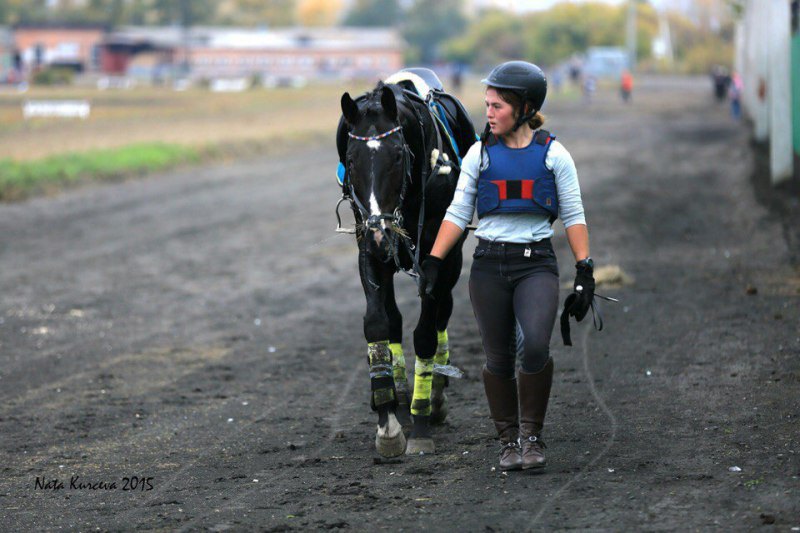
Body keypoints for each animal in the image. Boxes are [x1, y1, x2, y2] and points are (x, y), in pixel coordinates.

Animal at [336, 71, 476, 458]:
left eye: (398, 155)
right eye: (350, 158)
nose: (382, 230)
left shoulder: (438, 254)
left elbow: (427, 332)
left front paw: (422, 418)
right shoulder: (369, 245)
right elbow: (379, 322)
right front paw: (387, 418)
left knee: (443, 310)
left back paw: (436, 392)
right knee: (396, 318)